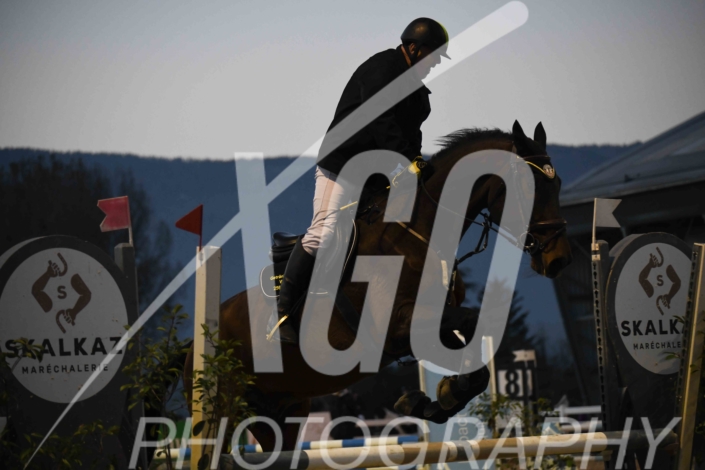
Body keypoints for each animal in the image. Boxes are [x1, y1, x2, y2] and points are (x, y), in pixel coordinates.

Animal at [183, 120, 572, 452]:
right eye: (530, 186)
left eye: (558, 185)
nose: (558, 259)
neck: (417, 236)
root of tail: (193, 343)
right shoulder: (397, 326)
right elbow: (469, 321)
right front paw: (440, 396)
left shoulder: (431, 325)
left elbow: (472, 353)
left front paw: (437, 399)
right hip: (225, 408)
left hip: (282, 415)